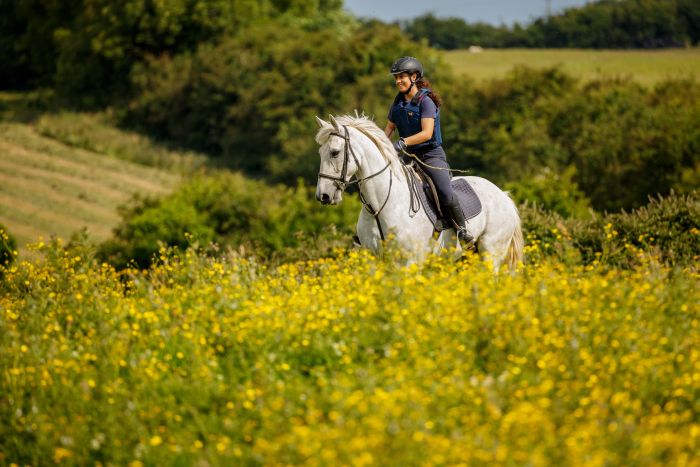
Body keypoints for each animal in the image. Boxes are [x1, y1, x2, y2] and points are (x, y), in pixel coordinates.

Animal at [314, 113, 524, 272]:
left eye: (334, 152)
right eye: (320, 153)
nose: (323, 196)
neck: (380, 206)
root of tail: (503, 195)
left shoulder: (410, 261)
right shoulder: (374, 260)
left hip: (491, 253)